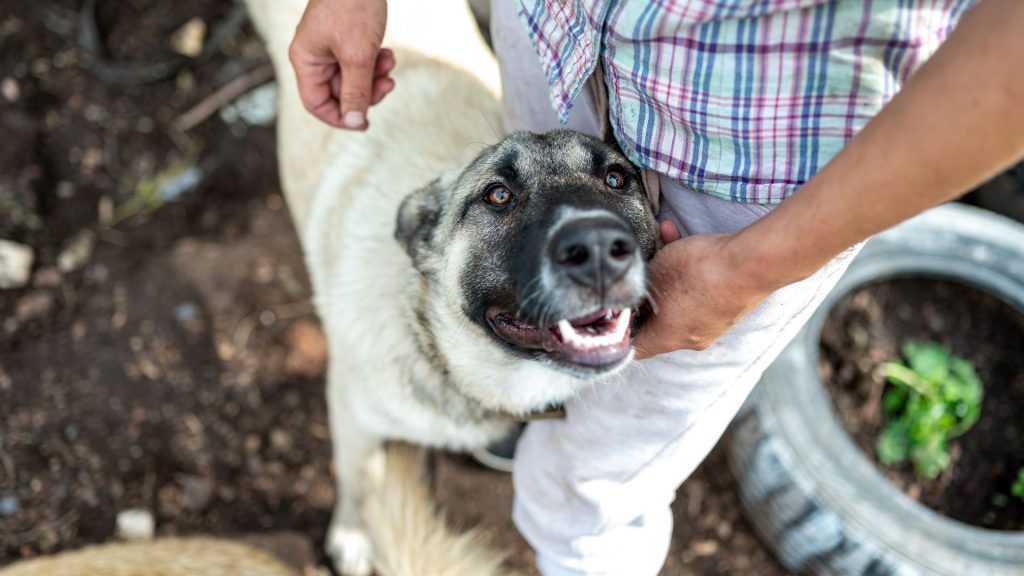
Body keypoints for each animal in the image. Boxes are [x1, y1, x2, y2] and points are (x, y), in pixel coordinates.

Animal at [248, 2, 663, 569]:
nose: (599, 249)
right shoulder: (351, 411)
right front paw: (354, 534)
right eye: (498, 195)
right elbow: (357, 475)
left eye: (617, 179)